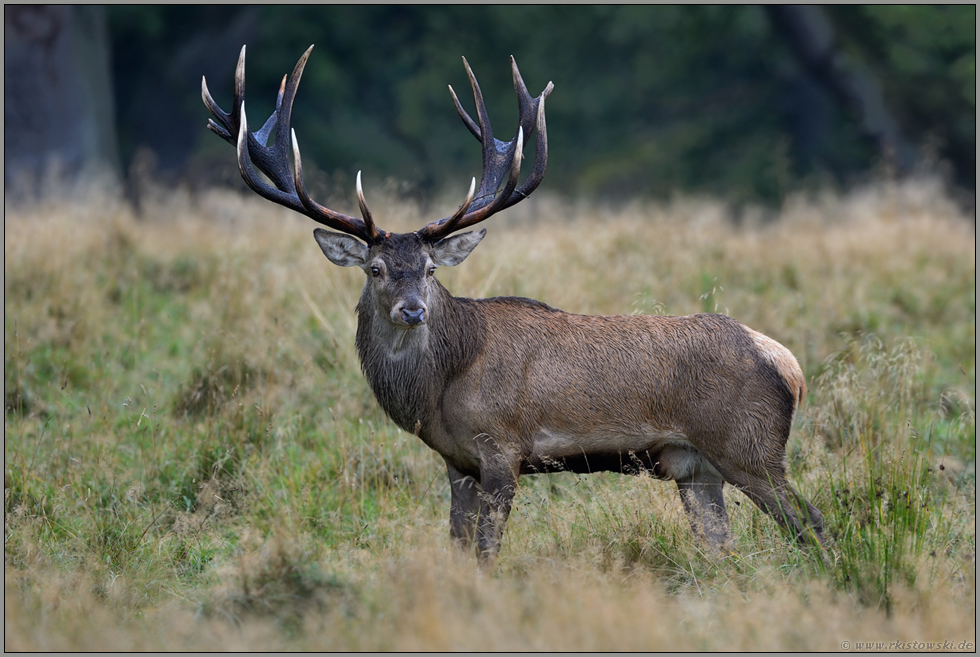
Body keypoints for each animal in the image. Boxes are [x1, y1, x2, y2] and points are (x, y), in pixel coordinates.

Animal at [202, 45, 826, 563]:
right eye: (376, 269)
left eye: (430, 270)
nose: (413, 310)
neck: (441, 387)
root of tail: (791, 367)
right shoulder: (456, 463)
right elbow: (457, 549)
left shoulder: (503, 449)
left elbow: (485, 553)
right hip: (696, 468)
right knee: (722, 547)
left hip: (749, 446)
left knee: (812, 522)